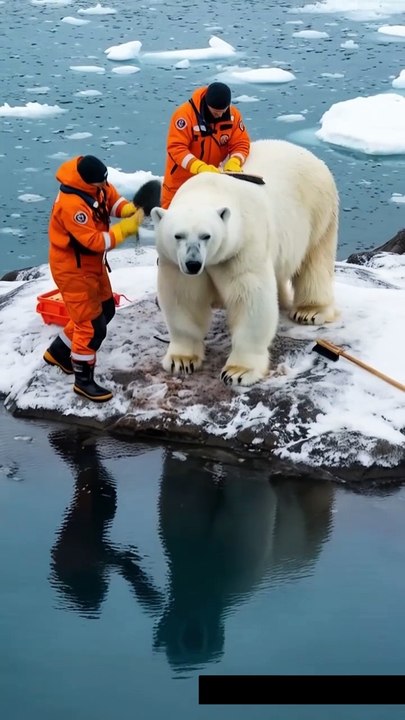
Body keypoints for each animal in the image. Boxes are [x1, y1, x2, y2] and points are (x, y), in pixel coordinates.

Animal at [151, 139, 339, 387]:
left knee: (314, 260)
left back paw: (309, 311)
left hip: (318, 213)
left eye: (206, 235)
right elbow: (184, 298)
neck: (211, 188)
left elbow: (251, 298)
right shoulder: (175, 263)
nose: (193, 263)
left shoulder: (243, 246)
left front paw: (238, 372)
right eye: (178, 235)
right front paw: (181, 360)